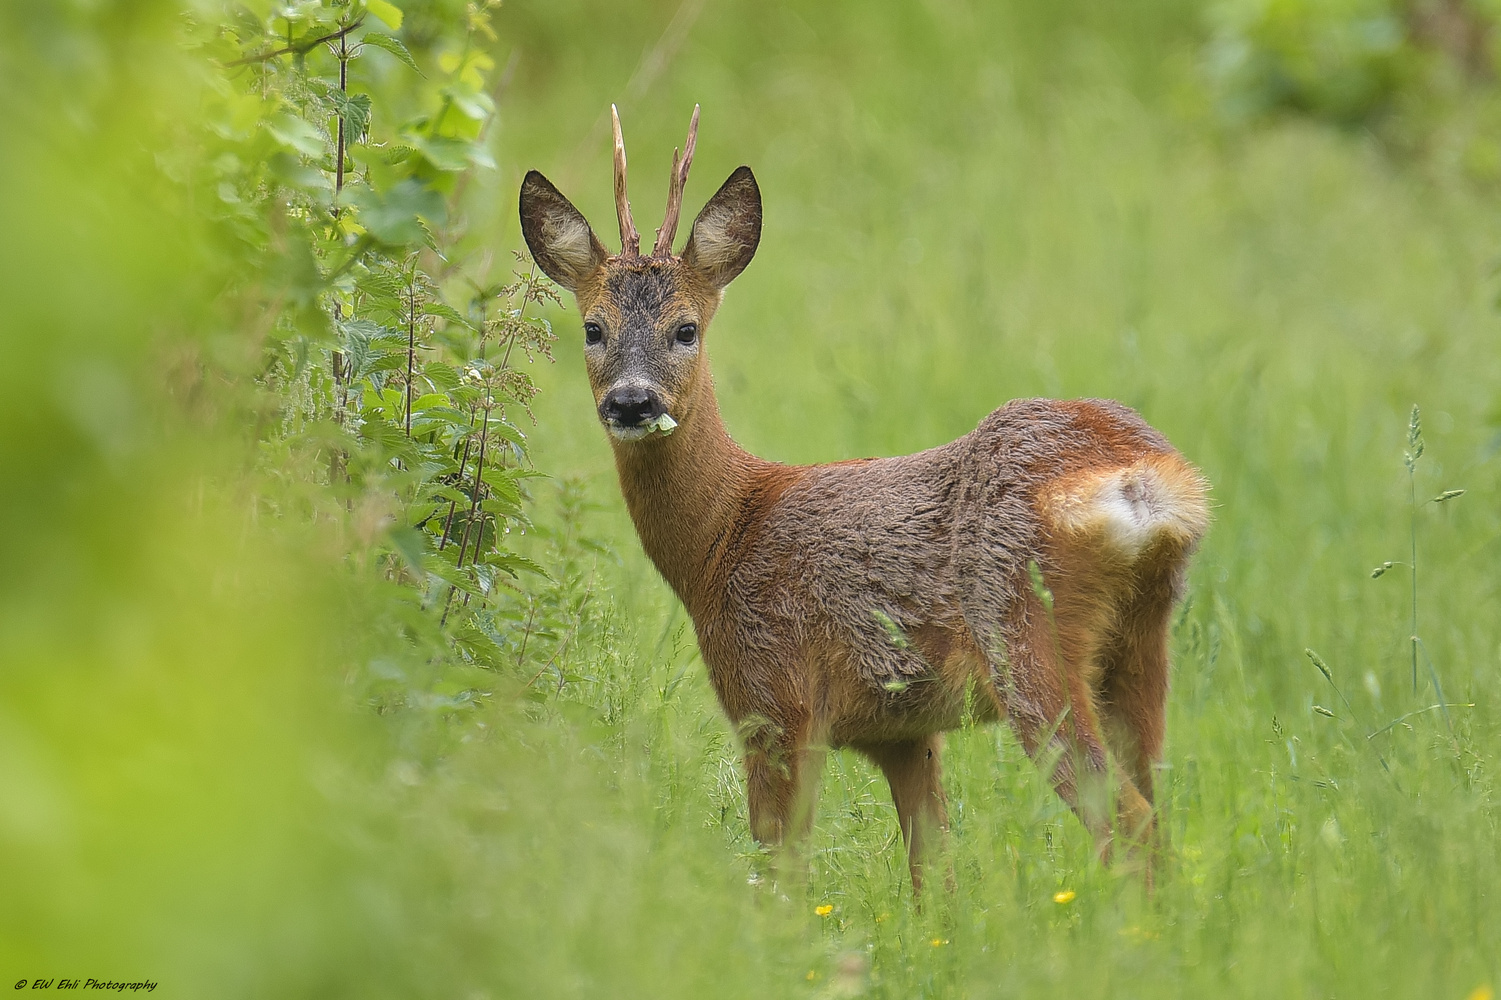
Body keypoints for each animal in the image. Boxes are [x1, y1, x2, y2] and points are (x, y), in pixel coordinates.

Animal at [522, 107, 1212, 888]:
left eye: (685, 329)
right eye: (592, 328)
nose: (632, 402)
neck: (722, 537)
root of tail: (1139, 477)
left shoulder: (774, 698)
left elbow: (783, 874)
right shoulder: (904, 733)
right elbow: (934, 878)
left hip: (1026, 634)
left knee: (1130, 822)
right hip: (1140, 640)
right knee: (1158, 810)